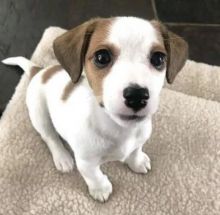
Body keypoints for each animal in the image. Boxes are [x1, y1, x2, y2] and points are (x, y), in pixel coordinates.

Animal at [2, 16, 188, 202]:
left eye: (158, 59)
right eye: (102, 57)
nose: (137, 96)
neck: (119, 130)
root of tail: (39, 71)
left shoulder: (140, 139)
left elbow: (136, 150)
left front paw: (137, 161)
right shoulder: (86, 162)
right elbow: (94, 175)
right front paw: (100, 189)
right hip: (39, 114)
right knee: (50, 137)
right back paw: (62, 158)